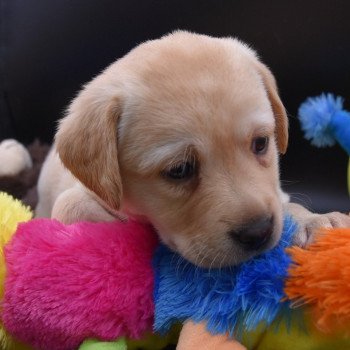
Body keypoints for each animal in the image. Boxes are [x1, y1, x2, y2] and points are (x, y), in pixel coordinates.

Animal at [35, 32, 350, 268]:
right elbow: (70, 205)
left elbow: (287, 204)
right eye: (179, 170)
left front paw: (314, 220)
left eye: (261, 143)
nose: (258, 232)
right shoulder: (79, 194)